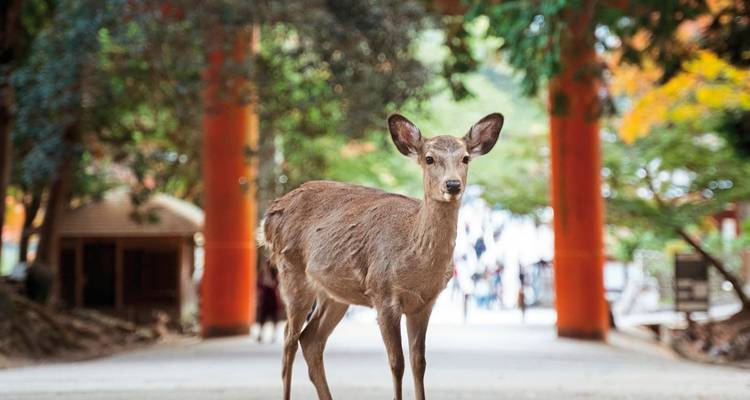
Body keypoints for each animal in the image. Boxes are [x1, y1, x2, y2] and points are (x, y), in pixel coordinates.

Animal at [261, 112, 504, 400]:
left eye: (465, 158)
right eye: (429, 158)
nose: (453, 184)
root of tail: (270, 215)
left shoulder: (425, 302)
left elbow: (419, 362)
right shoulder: (383, 293)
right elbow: (396, 362)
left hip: (335, 293)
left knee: (310, 339)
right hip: (291, 271)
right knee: (288, 340)